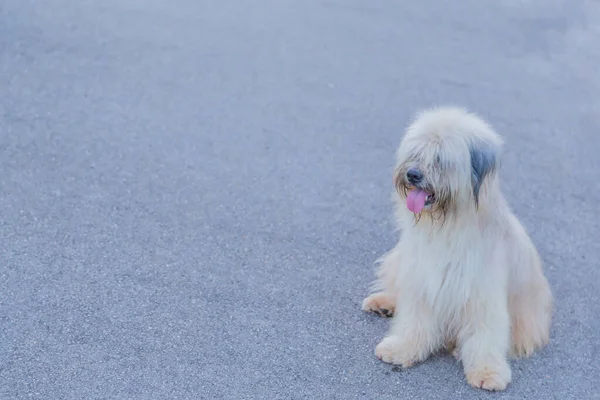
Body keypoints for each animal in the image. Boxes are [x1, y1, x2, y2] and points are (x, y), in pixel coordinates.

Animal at [360, 106, 552, 390]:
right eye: (416, 153)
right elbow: (413, 320)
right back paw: (383, 302)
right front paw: (402, 348)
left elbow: (486, 334)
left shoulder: (483, 292)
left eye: (440, 159)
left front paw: (487, 371)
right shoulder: (422, 279)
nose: (413, 174)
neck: (448, 225)